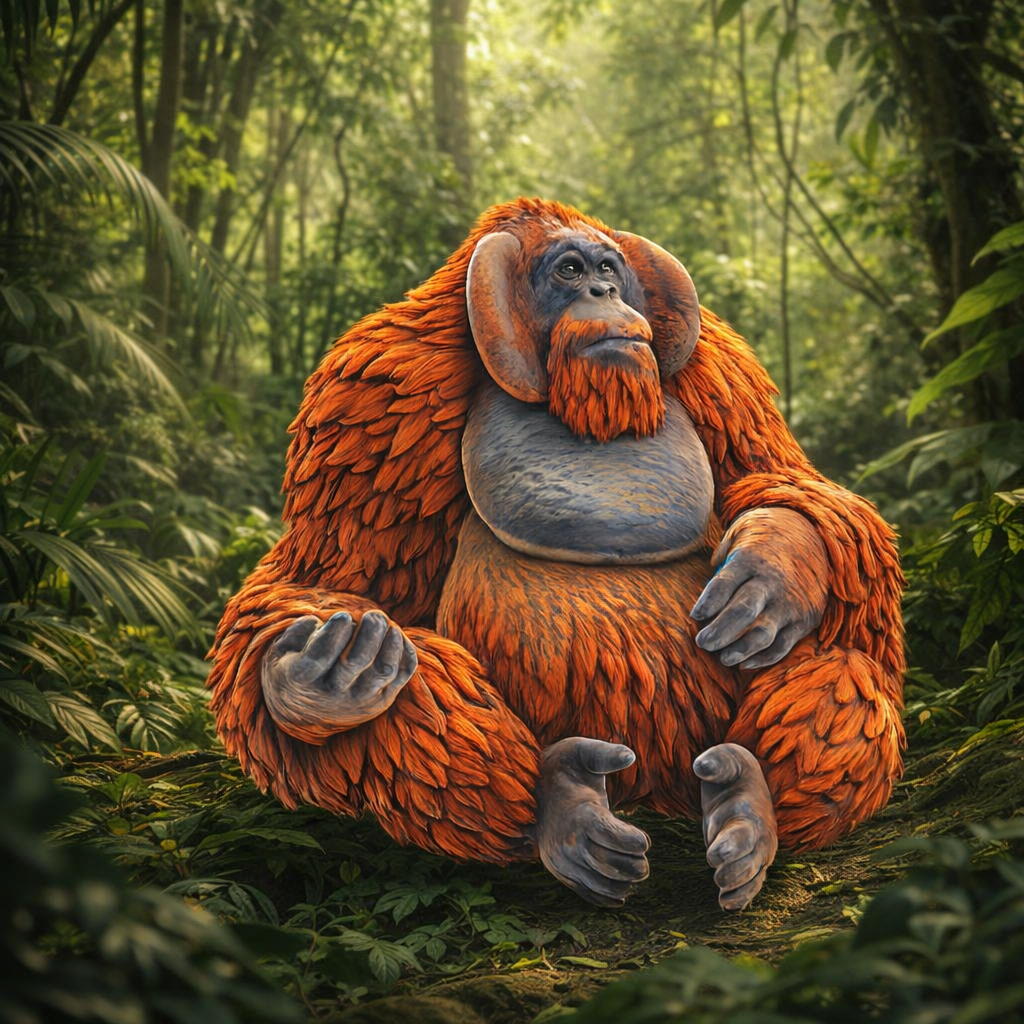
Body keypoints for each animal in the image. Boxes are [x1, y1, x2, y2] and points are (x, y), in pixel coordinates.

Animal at [208, 197, 905, 910]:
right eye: (569, 271)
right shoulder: (373, 395)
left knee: (841, 659)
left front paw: (769, 571)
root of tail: (653, 792)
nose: (603, 294)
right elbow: (325, 577)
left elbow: (785, 478)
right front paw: (317, 674)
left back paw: (747, 802)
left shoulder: (720, 369)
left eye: (609, 268)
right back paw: (562, 809)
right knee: (410, 689)